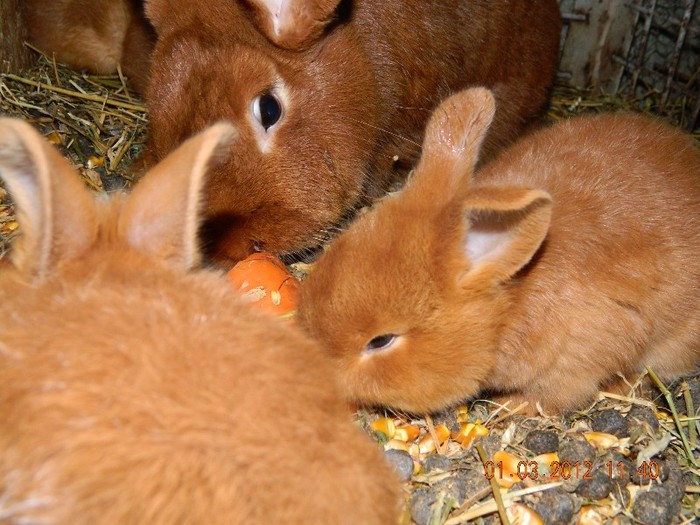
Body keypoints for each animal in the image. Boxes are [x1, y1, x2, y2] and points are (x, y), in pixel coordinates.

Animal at [298, 87, 700, 414]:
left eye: (381, 341)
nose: (317, 366)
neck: (509, 303)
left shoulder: (576, 362)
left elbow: (556, 395)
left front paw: (508, 406)